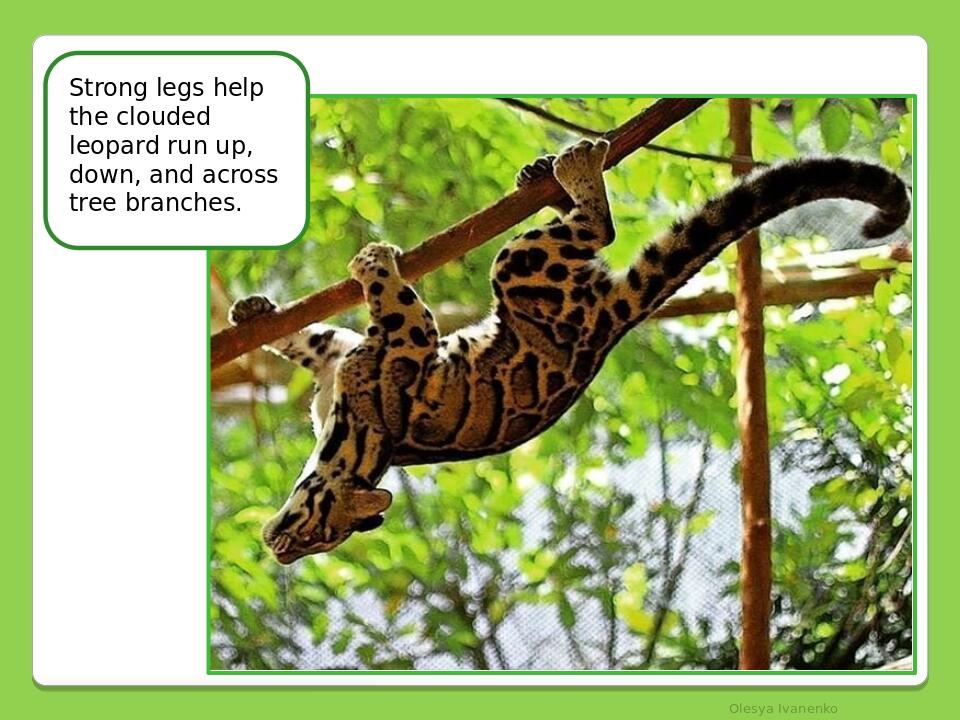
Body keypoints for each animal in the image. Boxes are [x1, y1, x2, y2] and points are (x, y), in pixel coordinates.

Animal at [228, 138, 910, 564]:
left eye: (314, 534)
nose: (275, 549)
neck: (350, 440)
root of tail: (613, 322)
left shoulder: (406, 340)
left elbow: (396, 302)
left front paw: (373, 261)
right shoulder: (336, 356)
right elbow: (309, 338)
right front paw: (254, 315)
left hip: (518, 267)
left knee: (597, 230)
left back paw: (578, 170)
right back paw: (545, 176)